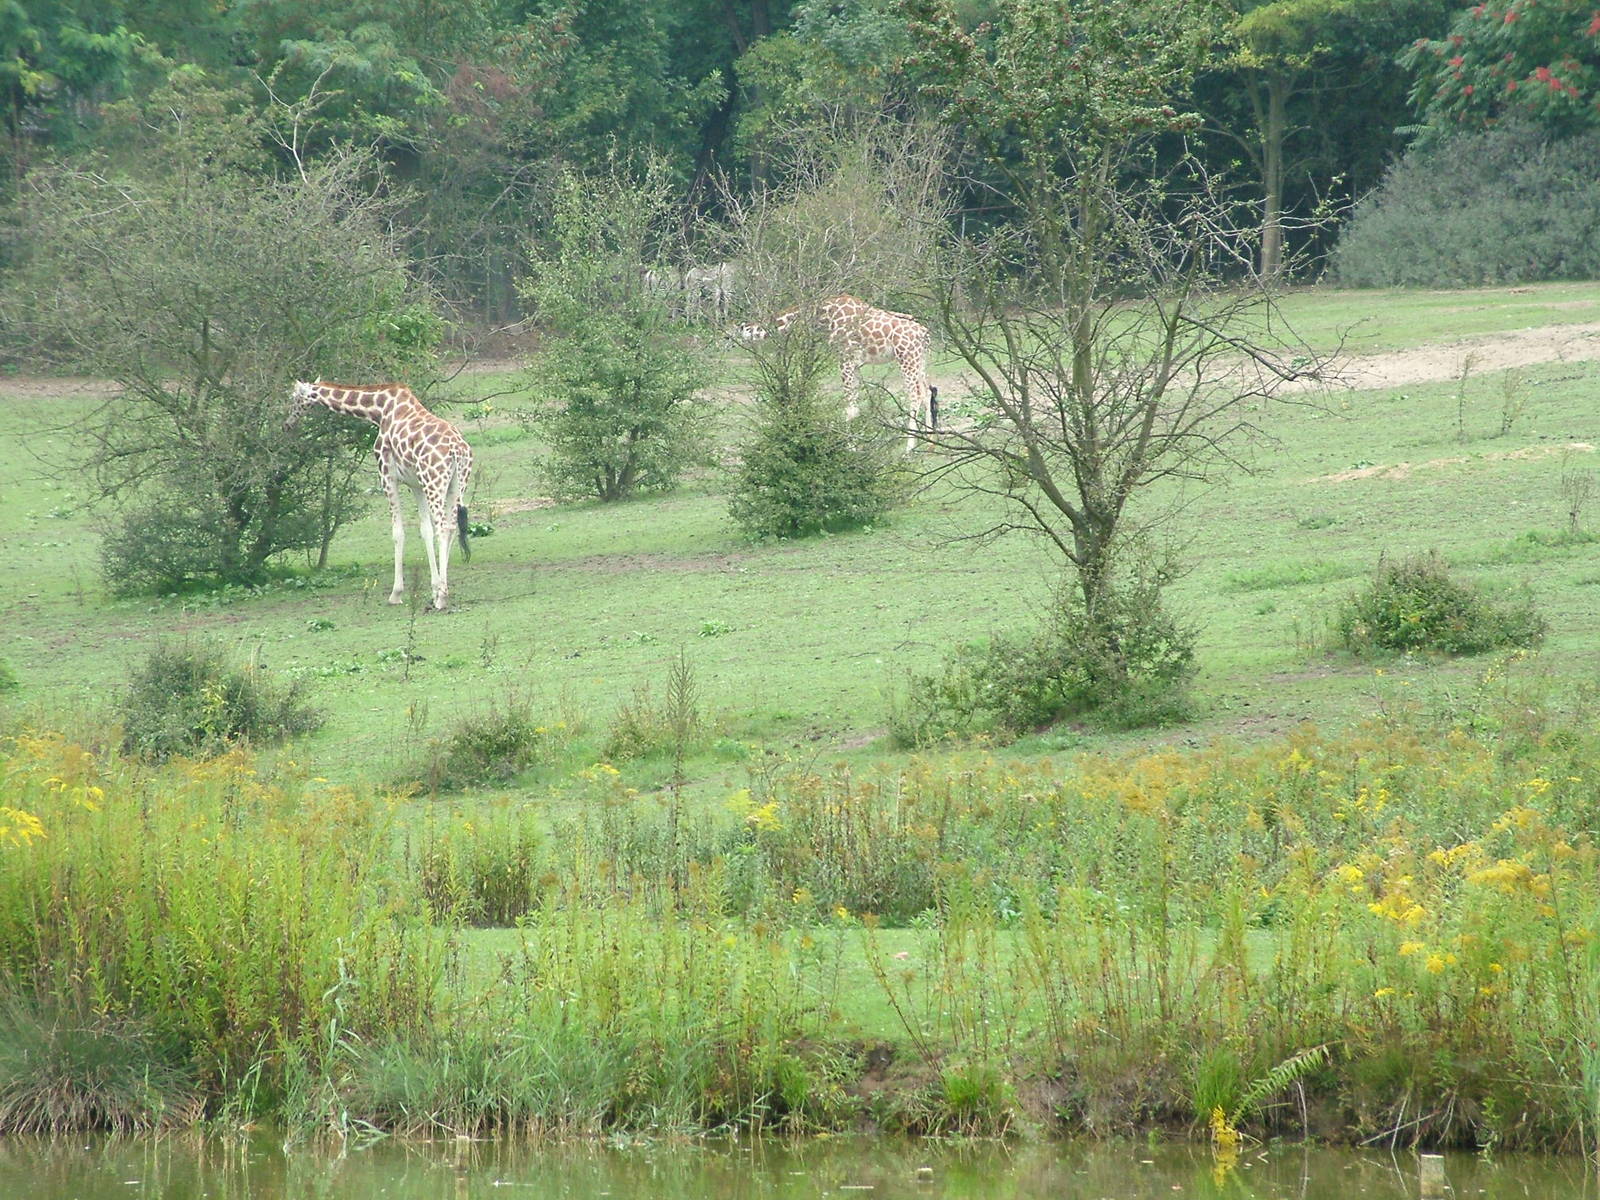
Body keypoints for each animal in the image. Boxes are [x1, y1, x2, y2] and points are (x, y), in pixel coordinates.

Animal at [287, 380, 474, 611]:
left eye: (294, 398)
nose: (287, 424)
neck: (378, 410)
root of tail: (457, 450)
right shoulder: (416, 483)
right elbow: (425, 530)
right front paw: (433, 589)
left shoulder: (387, 475)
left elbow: (398, 532)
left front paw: (397, 593)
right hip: (456, 485)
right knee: (450, 527)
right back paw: (442, 593)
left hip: (435, 482)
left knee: (443, 528)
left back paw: (442, 598)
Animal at [739, 294, 937, 452]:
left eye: (742, 331)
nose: (733, 340)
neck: (823, 314)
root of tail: (925, 334)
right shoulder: (856, 364)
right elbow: (856, 406)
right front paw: (860, 443)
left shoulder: (845, 358)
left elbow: (849, 409)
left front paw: (851, 448)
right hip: (921, 361)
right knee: (927, 392)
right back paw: (930, 442)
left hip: (906, 359)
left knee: (915, 396)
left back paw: (909, 449)